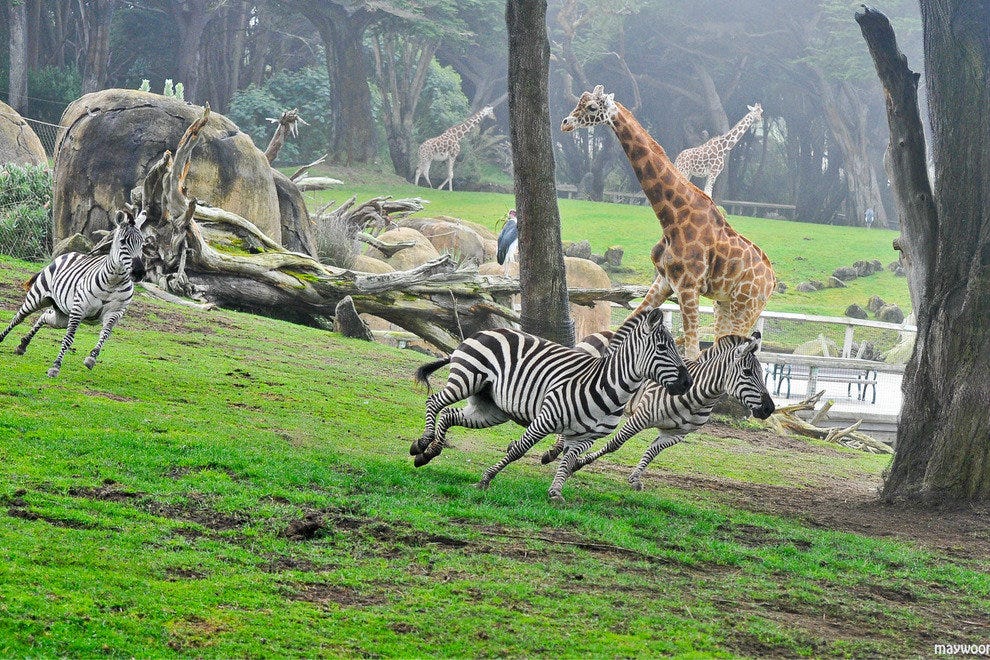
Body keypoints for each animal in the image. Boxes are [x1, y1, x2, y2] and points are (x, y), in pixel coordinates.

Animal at [0, 210, 147, 376]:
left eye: (142, 244)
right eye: (122, 242)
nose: (139, 272)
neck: (114, 281)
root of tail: (68, 254)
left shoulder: (115, 312)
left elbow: (105, 334)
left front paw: (91, 358)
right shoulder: (79, 309)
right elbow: (69, 338)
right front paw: (56, 366)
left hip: (62, 315)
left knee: (45, 316)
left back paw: (23, 345)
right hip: (37, 298)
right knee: (19, 318)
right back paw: (3, 338)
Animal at [410, 306, 688, 498]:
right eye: (662, 348)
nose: (686, 383)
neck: (607, 387)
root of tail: (483, 331)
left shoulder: (585, 438)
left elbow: (567, 462)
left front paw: (555, 493)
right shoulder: (545, 420)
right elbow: (518, 451)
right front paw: (485, 479)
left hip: (491, 409)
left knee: (449, 415)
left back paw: (429, 453)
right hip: (467, 379)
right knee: (434, 402)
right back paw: (422, 443)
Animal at [548, 332, 780, 492]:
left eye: (763, 373)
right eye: (747, 372)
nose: (769, 408)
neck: (698, 395)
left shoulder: (676, 434)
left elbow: (651, 453)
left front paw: (635, 478)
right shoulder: (641, 417)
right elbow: (615, 444)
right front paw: (578, 464)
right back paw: (555, 451)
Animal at [560, 86, 780, 360]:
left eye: (591, 107)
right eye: (581, 100)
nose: (565, 123)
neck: (671, 219)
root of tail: (772, 280)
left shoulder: (688, 287)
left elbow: (692, 352)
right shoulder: (664, 281)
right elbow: (622, 329)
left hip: (747, 306)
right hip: (724, 304)